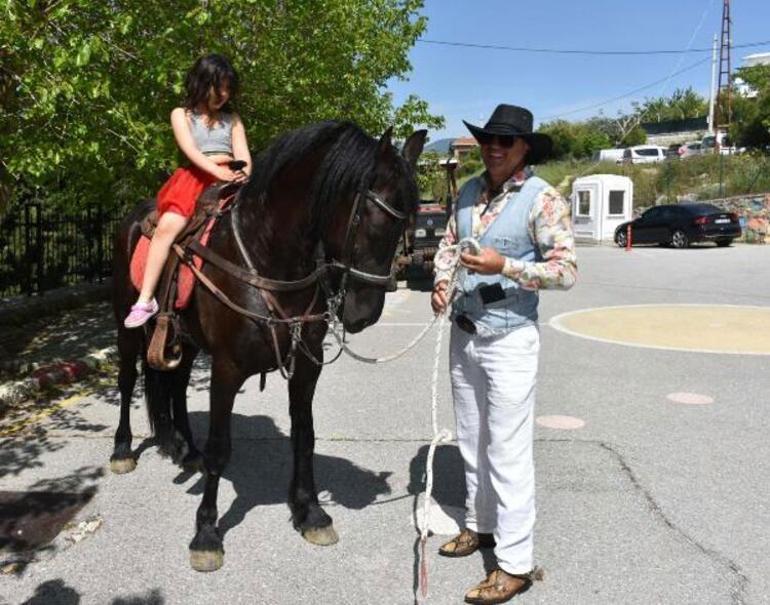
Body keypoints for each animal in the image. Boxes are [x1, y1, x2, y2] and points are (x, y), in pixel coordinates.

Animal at [109, 121, 426, 572]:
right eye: (368, 216)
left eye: (406, 225)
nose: (363, 314)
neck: (267, 257)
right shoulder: (226, 368)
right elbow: (221, 448)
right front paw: (206, 533)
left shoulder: (307, 366)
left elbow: (305, 435)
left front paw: (309, 511)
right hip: (127, 324)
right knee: (126, 379)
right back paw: (122, 448)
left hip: (185, 339)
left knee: (177, 385)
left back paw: (186, 448)